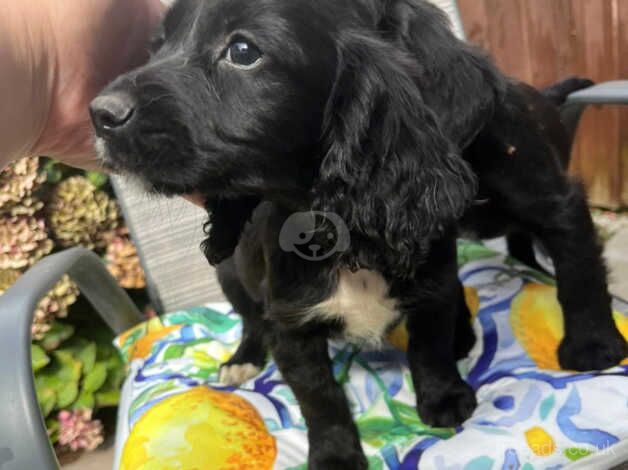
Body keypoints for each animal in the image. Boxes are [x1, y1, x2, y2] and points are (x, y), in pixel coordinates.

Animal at [89, 0, 628, 466]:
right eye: (158, 46)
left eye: (242, 51)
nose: (100, 114)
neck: (339, 226)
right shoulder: (292, 326)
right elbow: (320, 398)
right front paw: (334, 455)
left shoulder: (513, 232)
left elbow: (566, 280)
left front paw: (450, 395)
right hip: (230, 274)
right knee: (249, 319)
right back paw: (242, 358)